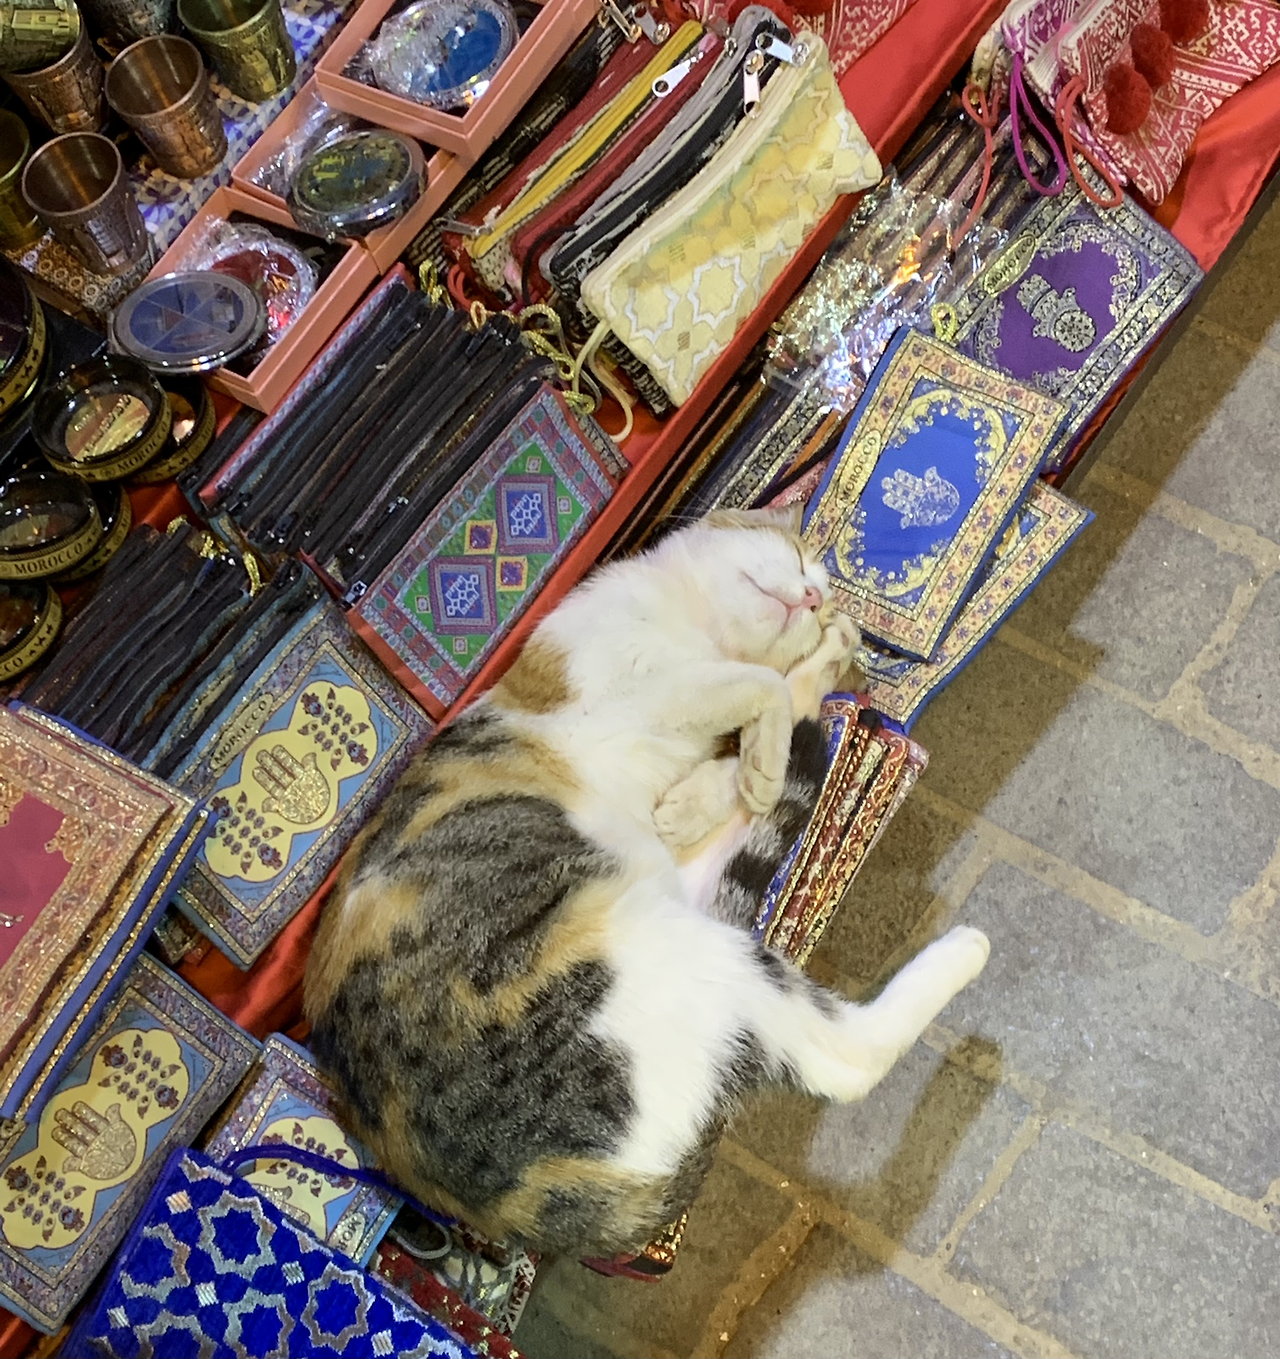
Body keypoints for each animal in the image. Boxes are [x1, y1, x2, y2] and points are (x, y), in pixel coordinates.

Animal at [305, 507, 990, 1256]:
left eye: (818, 589)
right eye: (800, 554)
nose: (816, 600)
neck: (696, 629)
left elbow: (774, 701)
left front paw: (745, 761)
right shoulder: (635, 686)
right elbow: (767, 688)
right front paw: (769, 741)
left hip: (674, 908)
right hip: (673, 945)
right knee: (846, 1061)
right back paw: (967, 943)